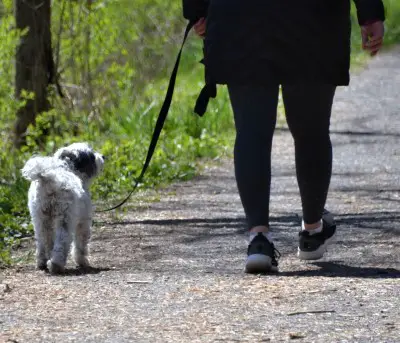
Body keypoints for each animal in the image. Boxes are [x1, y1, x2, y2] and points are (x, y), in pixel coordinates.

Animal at [21, 142, 104, 274]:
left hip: (40, 218)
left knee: (43, 241)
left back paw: (42, 262)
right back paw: (56, 265)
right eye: (91, 155)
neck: (70, 168)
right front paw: (82, 261)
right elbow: (81, 244)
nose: (102, 157)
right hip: (64, 218)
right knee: (62, 242)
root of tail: (49, 178)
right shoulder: (83, 222)